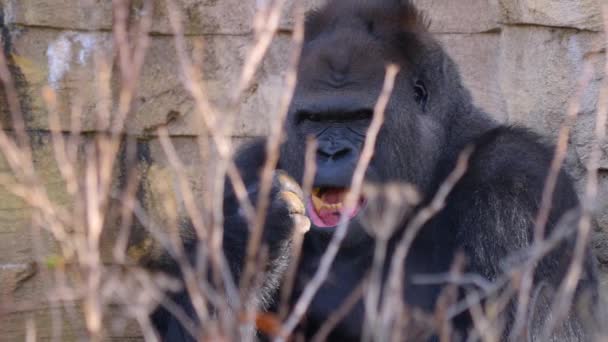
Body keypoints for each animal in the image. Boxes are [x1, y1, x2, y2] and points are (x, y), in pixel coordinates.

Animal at [151, 0, 600, 340]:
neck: (435, 168)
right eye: (313, 120)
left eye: (362, 118)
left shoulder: (517, 186)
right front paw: (254, 232)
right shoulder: (248, 168)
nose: (331, 151)